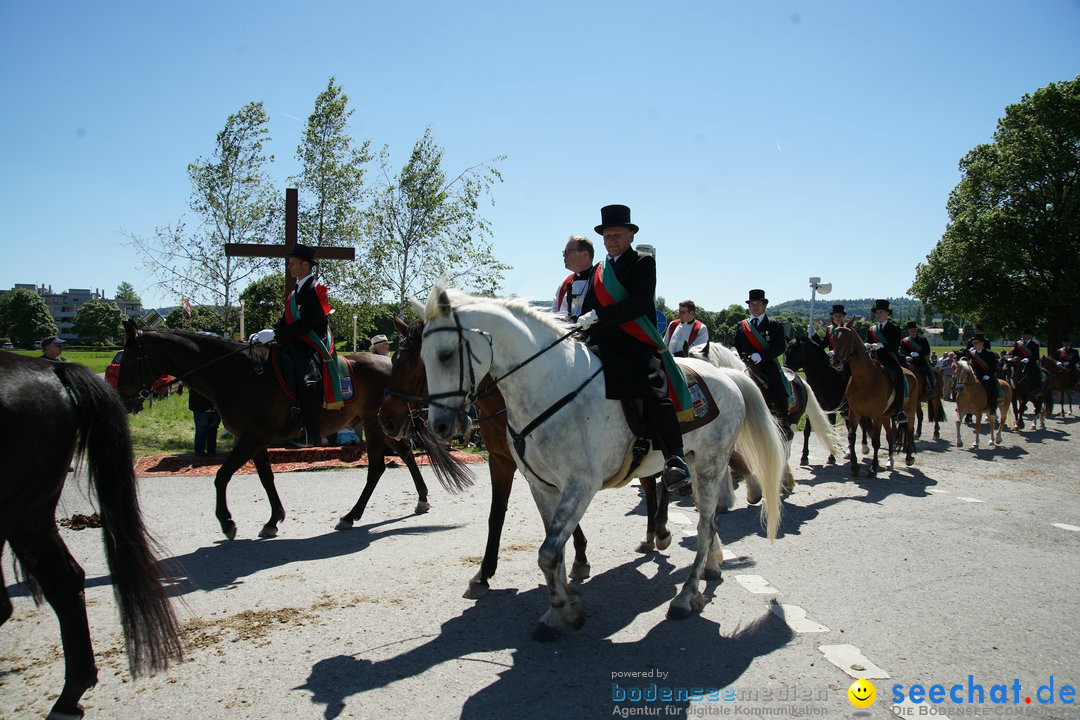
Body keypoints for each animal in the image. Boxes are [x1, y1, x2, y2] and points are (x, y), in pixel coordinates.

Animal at [115, 321, 468, 539]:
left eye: (129, 357)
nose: (121, 398)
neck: (236, 373)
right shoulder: (256, 439)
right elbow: (266, 478)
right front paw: (273, 519)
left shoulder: (253, 436)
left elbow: (222, 475)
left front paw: (227, 522)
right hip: (382, 424)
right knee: (404, 453)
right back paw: (419, 498)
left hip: (375, 423)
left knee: (379, 466)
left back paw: (352, 515)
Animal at [375, 317, 587, 600]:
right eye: (394, 359)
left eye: (416, 363)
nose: (386, 419)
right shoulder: (501, 461)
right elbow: (496, 515)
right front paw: (483, 573)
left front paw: (579, 557)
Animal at [414, 287, 786, 634]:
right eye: (422, 357)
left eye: (445, 355)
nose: (440, 426)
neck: (549, 388)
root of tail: (727, 376)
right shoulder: (542, 486)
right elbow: (554, 550)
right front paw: (559, 607)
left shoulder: (580, 485)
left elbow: (548, 553)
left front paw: (563, 609)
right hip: (698, 464)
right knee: (710, 521)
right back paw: (711, 565)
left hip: (708, 463)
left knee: (705, 526)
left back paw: (685, 595)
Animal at [829, 325, 915, 472]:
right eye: (834, 338)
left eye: (847, 339)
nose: (836, 362)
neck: (864, 379)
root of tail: (911, 373)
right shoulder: (855, 412)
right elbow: (852, 437)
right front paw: (854, 464)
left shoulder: (876, 415)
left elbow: (875, 441)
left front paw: (874, 466)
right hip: (886, 415)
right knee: (890, 435)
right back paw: (890, 461)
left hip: (909, 411)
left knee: (909, 431)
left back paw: (909, 458)